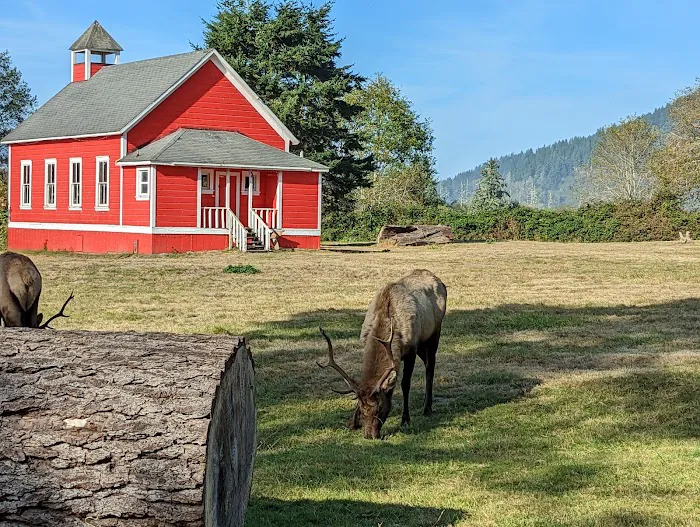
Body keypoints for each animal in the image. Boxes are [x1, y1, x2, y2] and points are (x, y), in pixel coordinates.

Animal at [318, 269, 447, 439]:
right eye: (362, 409)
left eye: (380, 407)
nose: (369, 435)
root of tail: (440, 282)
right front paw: (352, 423)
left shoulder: (411, 349)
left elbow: (405, 384)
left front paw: (405, 419)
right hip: (423, 342)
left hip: (433, 334)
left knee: (430, 366)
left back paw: (427, 408)